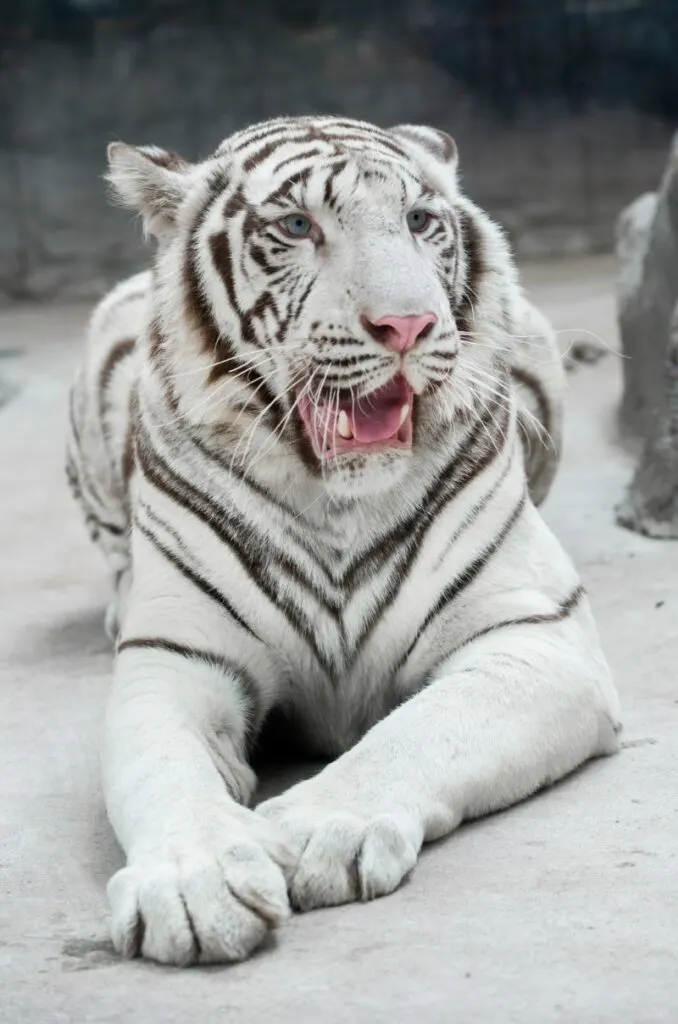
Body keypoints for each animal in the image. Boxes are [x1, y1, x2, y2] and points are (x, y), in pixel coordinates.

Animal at [66, 116, 622, 962]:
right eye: (298, 227)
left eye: (420, 221)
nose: (408, 326)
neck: (337, 503)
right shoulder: (177, 659)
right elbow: (160, 768)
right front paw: (196, 884)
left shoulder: (534, 636)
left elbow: (419, 732)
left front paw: (311, 830)